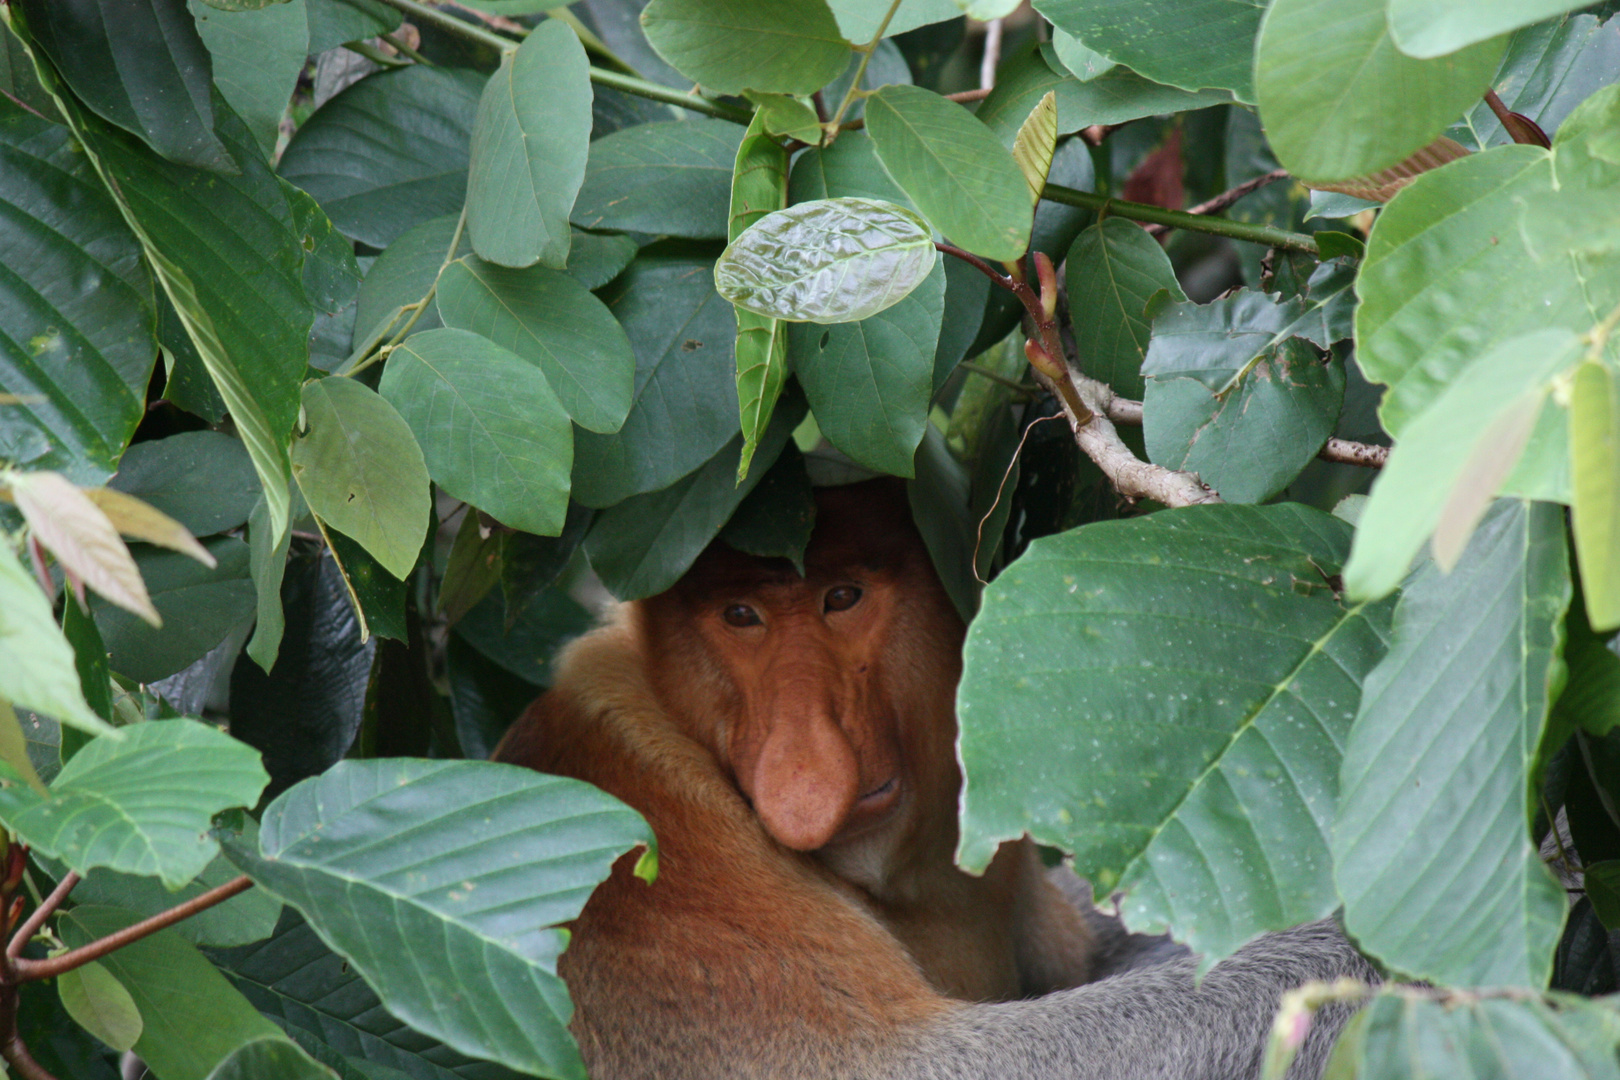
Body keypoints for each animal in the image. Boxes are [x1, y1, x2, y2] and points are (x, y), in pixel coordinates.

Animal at [492, 482, 1367, 1080]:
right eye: (741, 617)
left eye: (842, 598)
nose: (803, 766)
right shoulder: (656, 854)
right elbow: (906, 1062)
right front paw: (1342, 954)